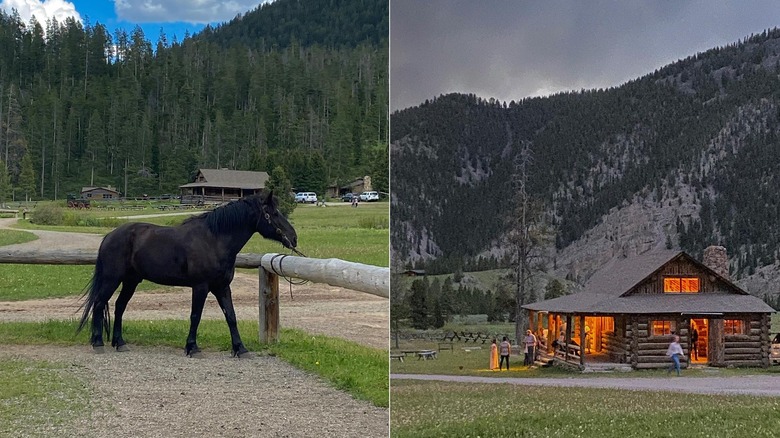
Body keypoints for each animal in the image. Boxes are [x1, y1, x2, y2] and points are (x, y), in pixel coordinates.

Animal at [77, 192, 296, 356]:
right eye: (273, 213)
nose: (293, 237)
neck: (214, 240)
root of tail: (110, 235)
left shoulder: (222, 287)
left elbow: (231, 316)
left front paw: (240, 348)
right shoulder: (200, 286)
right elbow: (195, 316)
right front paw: (192, 347)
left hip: (131, 281)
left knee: (120, 306)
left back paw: (120, 343)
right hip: (111, 279)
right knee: (99, 304)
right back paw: (98, 343)